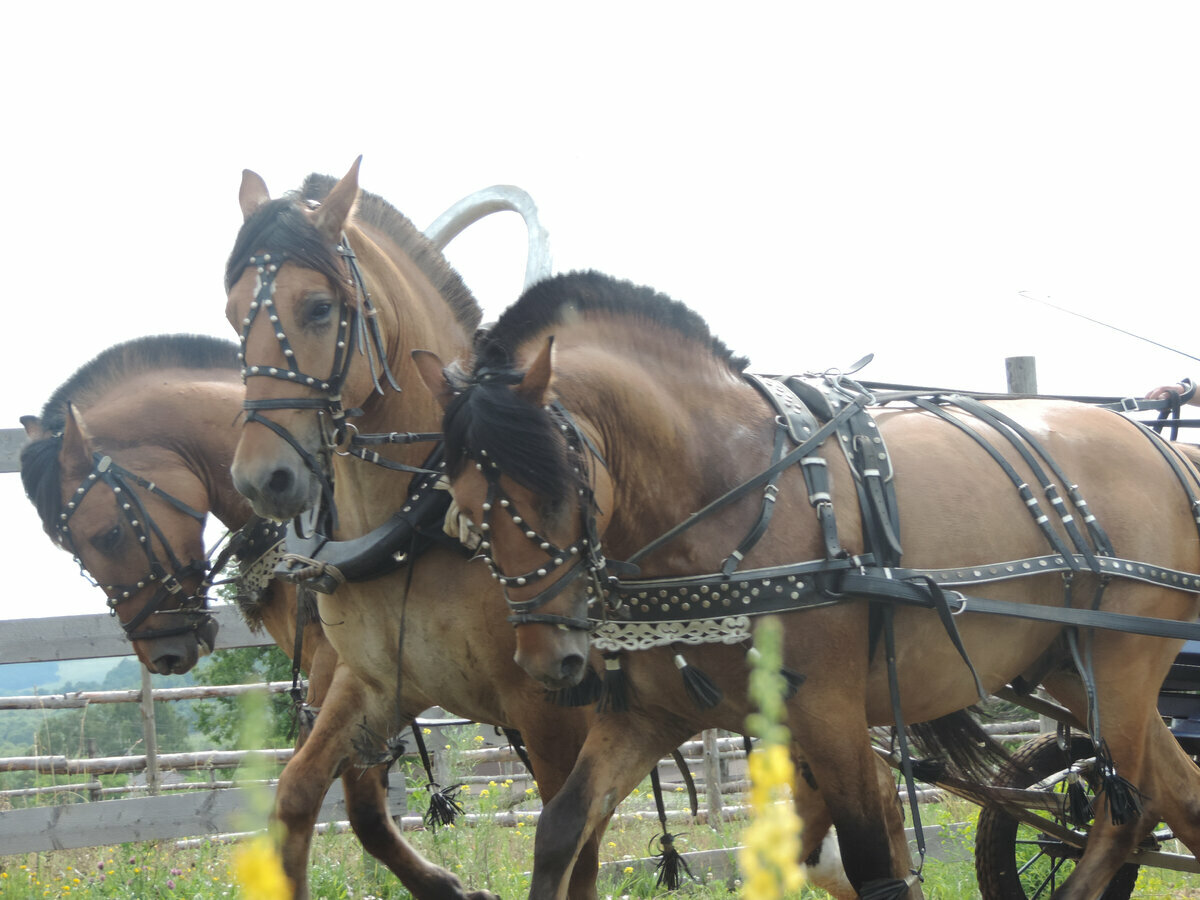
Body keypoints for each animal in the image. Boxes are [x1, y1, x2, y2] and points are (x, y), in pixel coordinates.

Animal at [422, 270, 1200, 900]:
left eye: (558, 489)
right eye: (462, 501)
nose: (548, 663)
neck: (731, 490)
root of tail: (1165, 451)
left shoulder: (829, 714)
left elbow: (872, 863)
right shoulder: (650, 712)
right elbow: (561, 830)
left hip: (1122, 662)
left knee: (1124, 820)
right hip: (1069, 664)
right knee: (1179, 798)